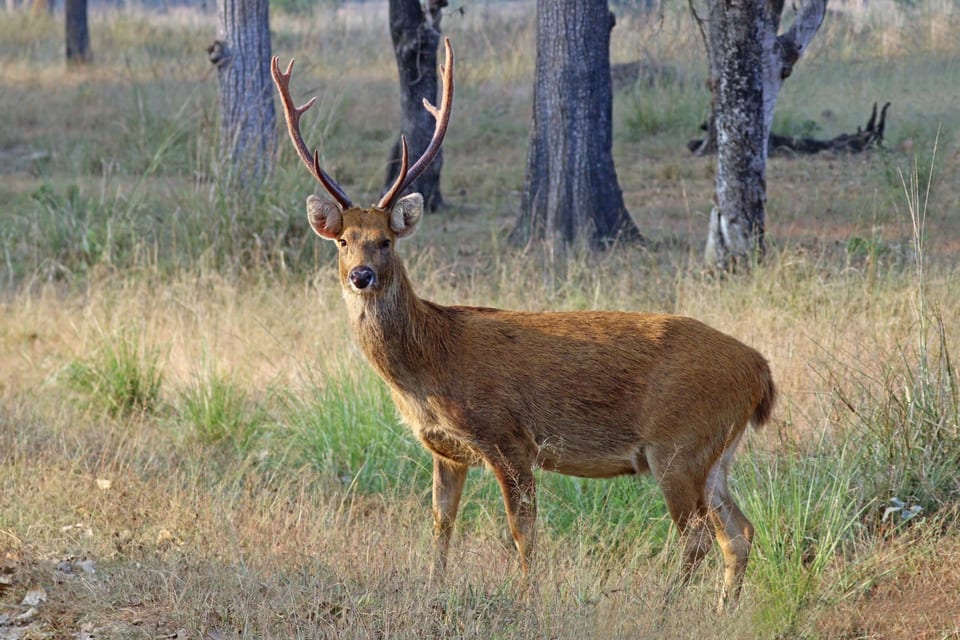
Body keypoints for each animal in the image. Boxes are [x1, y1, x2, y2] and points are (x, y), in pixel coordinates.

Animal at [271, 38, 776, 610]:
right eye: (342, 240)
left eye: (385, 240)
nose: (362, 275)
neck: (431, 362)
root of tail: (760, 371)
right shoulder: (446, 449)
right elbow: (441, 523)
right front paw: (435, 589)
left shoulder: (508, 436)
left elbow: (522, 530)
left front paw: (528, 598)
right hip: (715, 451)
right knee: (739, 531)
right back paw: (723, 608)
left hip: (679, 442)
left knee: (698, 537)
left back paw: (666, 606)